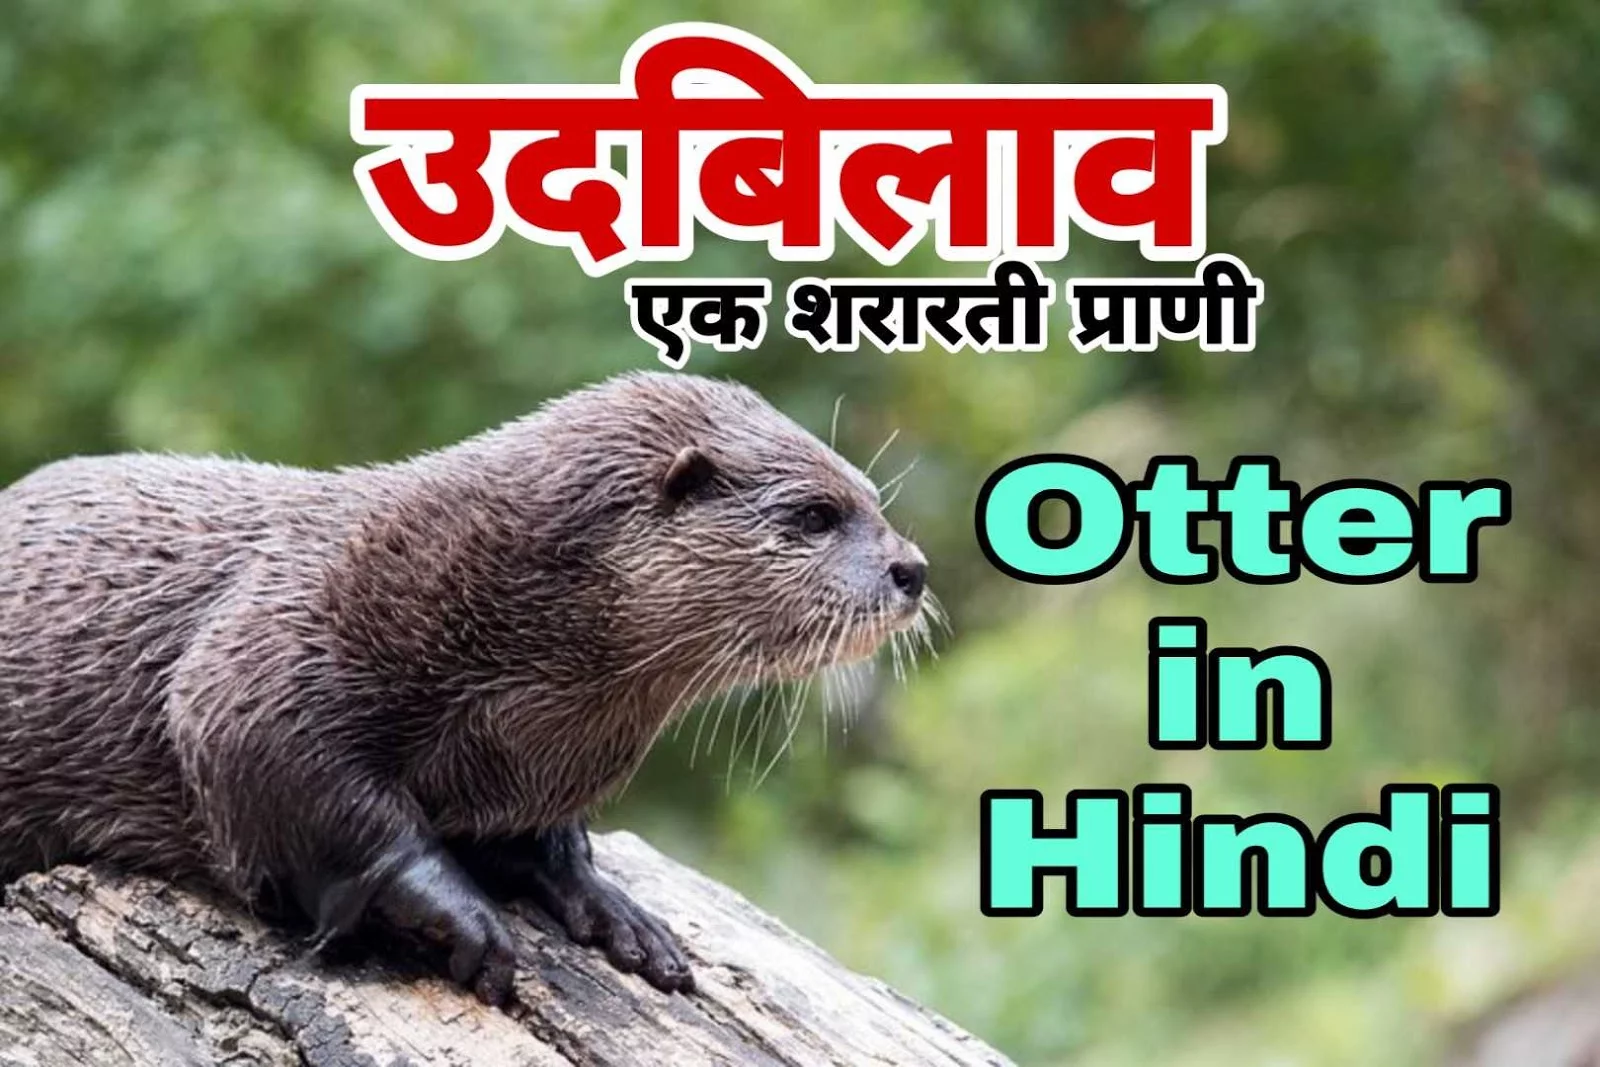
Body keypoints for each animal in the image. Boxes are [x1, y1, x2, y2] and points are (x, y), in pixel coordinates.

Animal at [0, 371, 929, 1004]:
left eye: (873, 499)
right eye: (814, 515)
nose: (911, 567)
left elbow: (541, 840)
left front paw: (611, 907)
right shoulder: (268, 651)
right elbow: (292, 773)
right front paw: (463, 914)